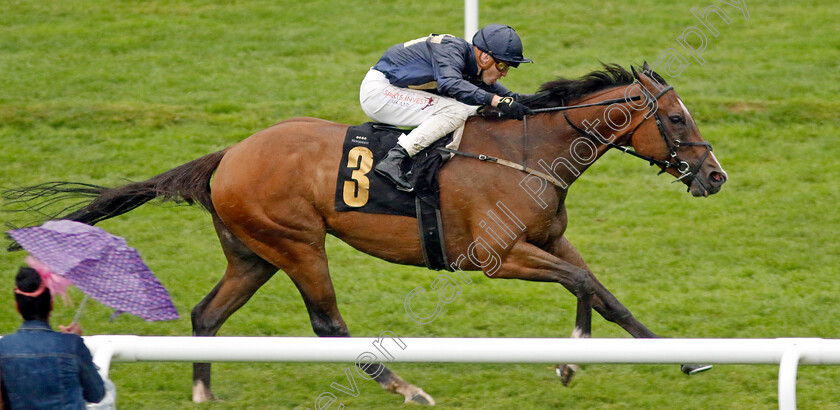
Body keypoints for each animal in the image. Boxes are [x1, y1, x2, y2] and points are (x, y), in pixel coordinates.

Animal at [3, 64, 724, 404]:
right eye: (678, 119)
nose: (715, 176)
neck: (528, 150)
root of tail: (228, 155)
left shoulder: (546, 241)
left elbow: (600, 289)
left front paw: (678, 357)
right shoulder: (495, 256)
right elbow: (581, 283)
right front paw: (573, 359)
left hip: (253, 254)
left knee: (208, 313)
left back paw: (203, 389)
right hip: (297, 243)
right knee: (328, 325)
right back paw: (406, 388)